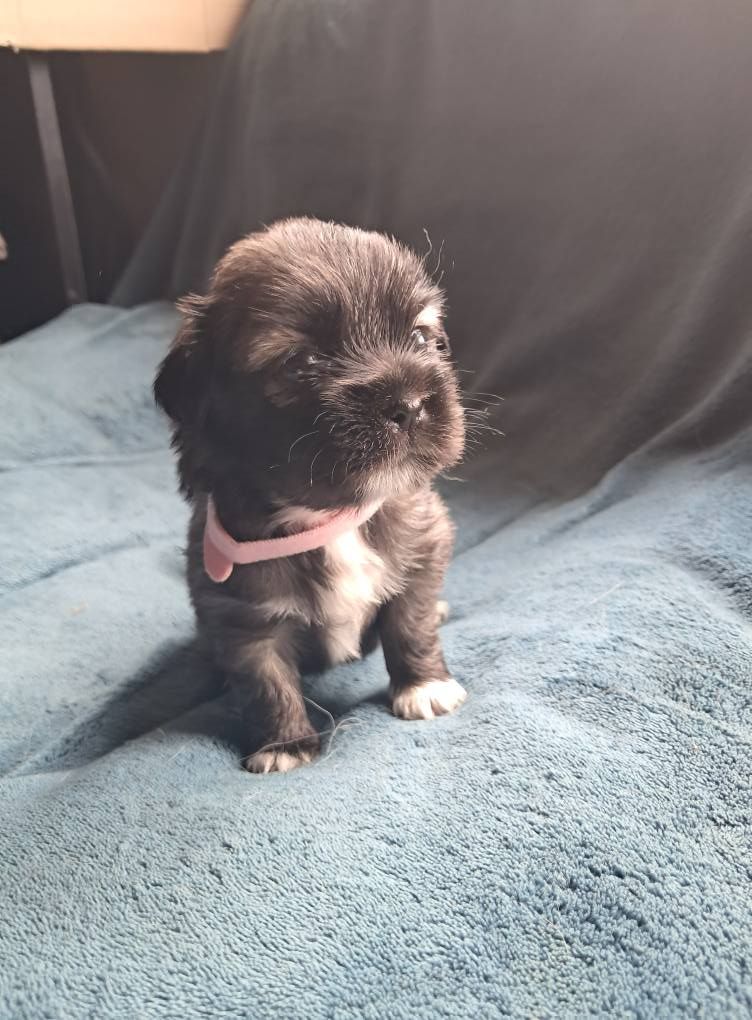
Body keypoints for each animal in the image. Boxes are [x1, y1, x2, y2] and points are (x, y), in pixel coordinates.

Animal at [154, 218, 466, 773]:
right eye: (301, 361)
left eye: (420, 336)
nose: (409, 405)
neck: (327, 517)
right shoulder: (242, 616)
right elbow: (266, 681)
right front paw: (284, 746)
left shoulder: (425, 543)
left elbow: (410, 620)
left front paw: (425, 686)